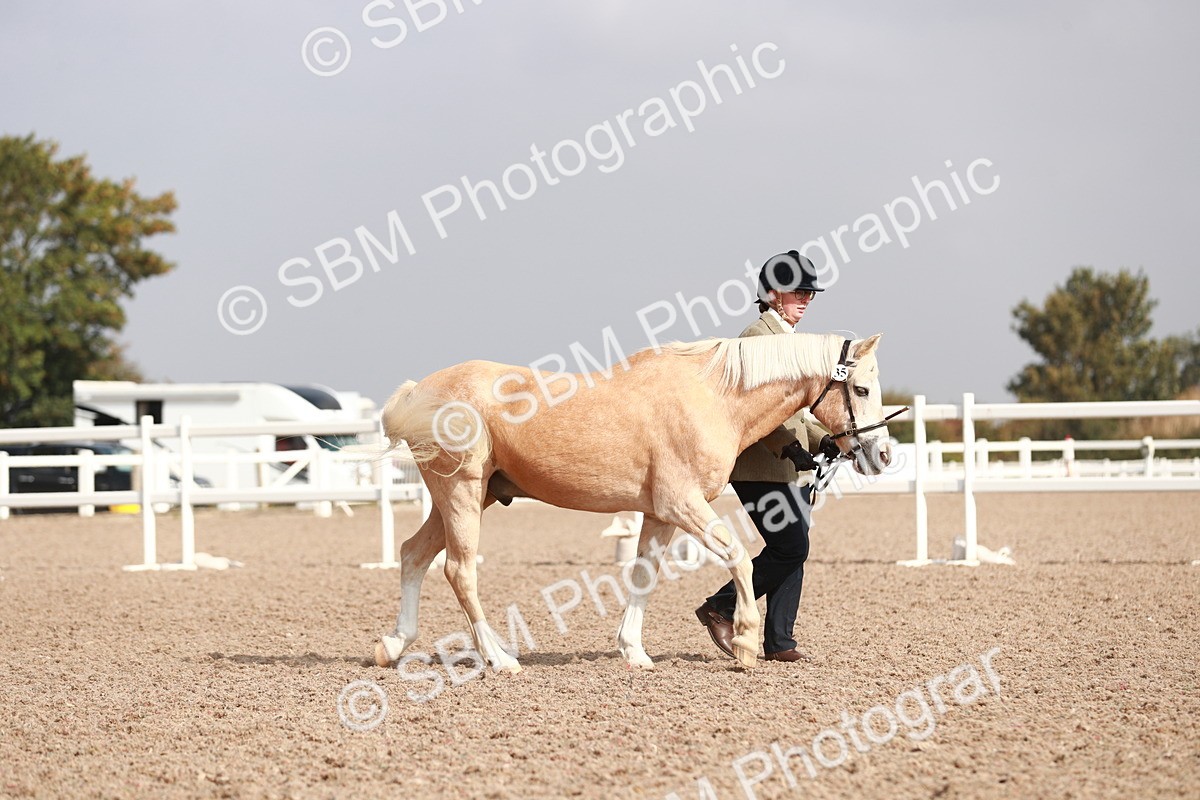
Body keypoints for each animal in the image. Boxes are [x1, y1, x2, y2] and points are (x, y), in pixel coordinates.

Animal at [374, 332, 894, 672]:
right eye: (862, 388)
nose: (883, 455)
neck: (713, 396)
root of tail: (419, 392)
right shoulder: (683, 504)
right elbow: (739, 557)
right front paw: (745, 643)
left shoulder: (659, 514)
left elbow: (644, 575)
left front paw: (635, 652)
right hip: (461, 492)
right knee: (459, 571)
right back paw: (499, 659)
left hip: (467, 497)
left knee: (413, 555)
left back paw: (394, 646)